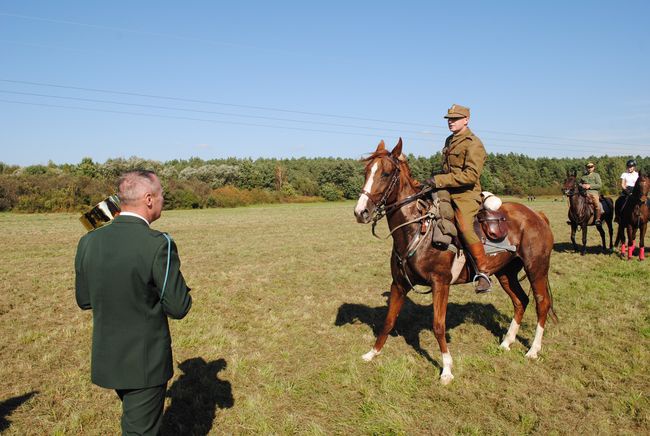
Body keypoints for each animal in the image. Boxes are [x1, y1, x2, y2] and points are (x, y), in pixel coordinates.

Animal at [352, 140, 556, 384]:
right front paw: (373, 353)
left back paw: (533, 350)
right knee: (520, 301)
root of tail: (537, 215)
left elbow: (438, 325)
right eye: (366, 171)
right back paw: (506, 342)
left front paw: (447, 369)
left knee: (541, 303)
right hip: (506, 273)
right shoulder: (399, 284)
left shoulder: (441, 284)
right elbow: (389, 320)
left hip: (536, 269)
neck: (417, 229)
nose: (361, 212)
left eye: (385, 173)